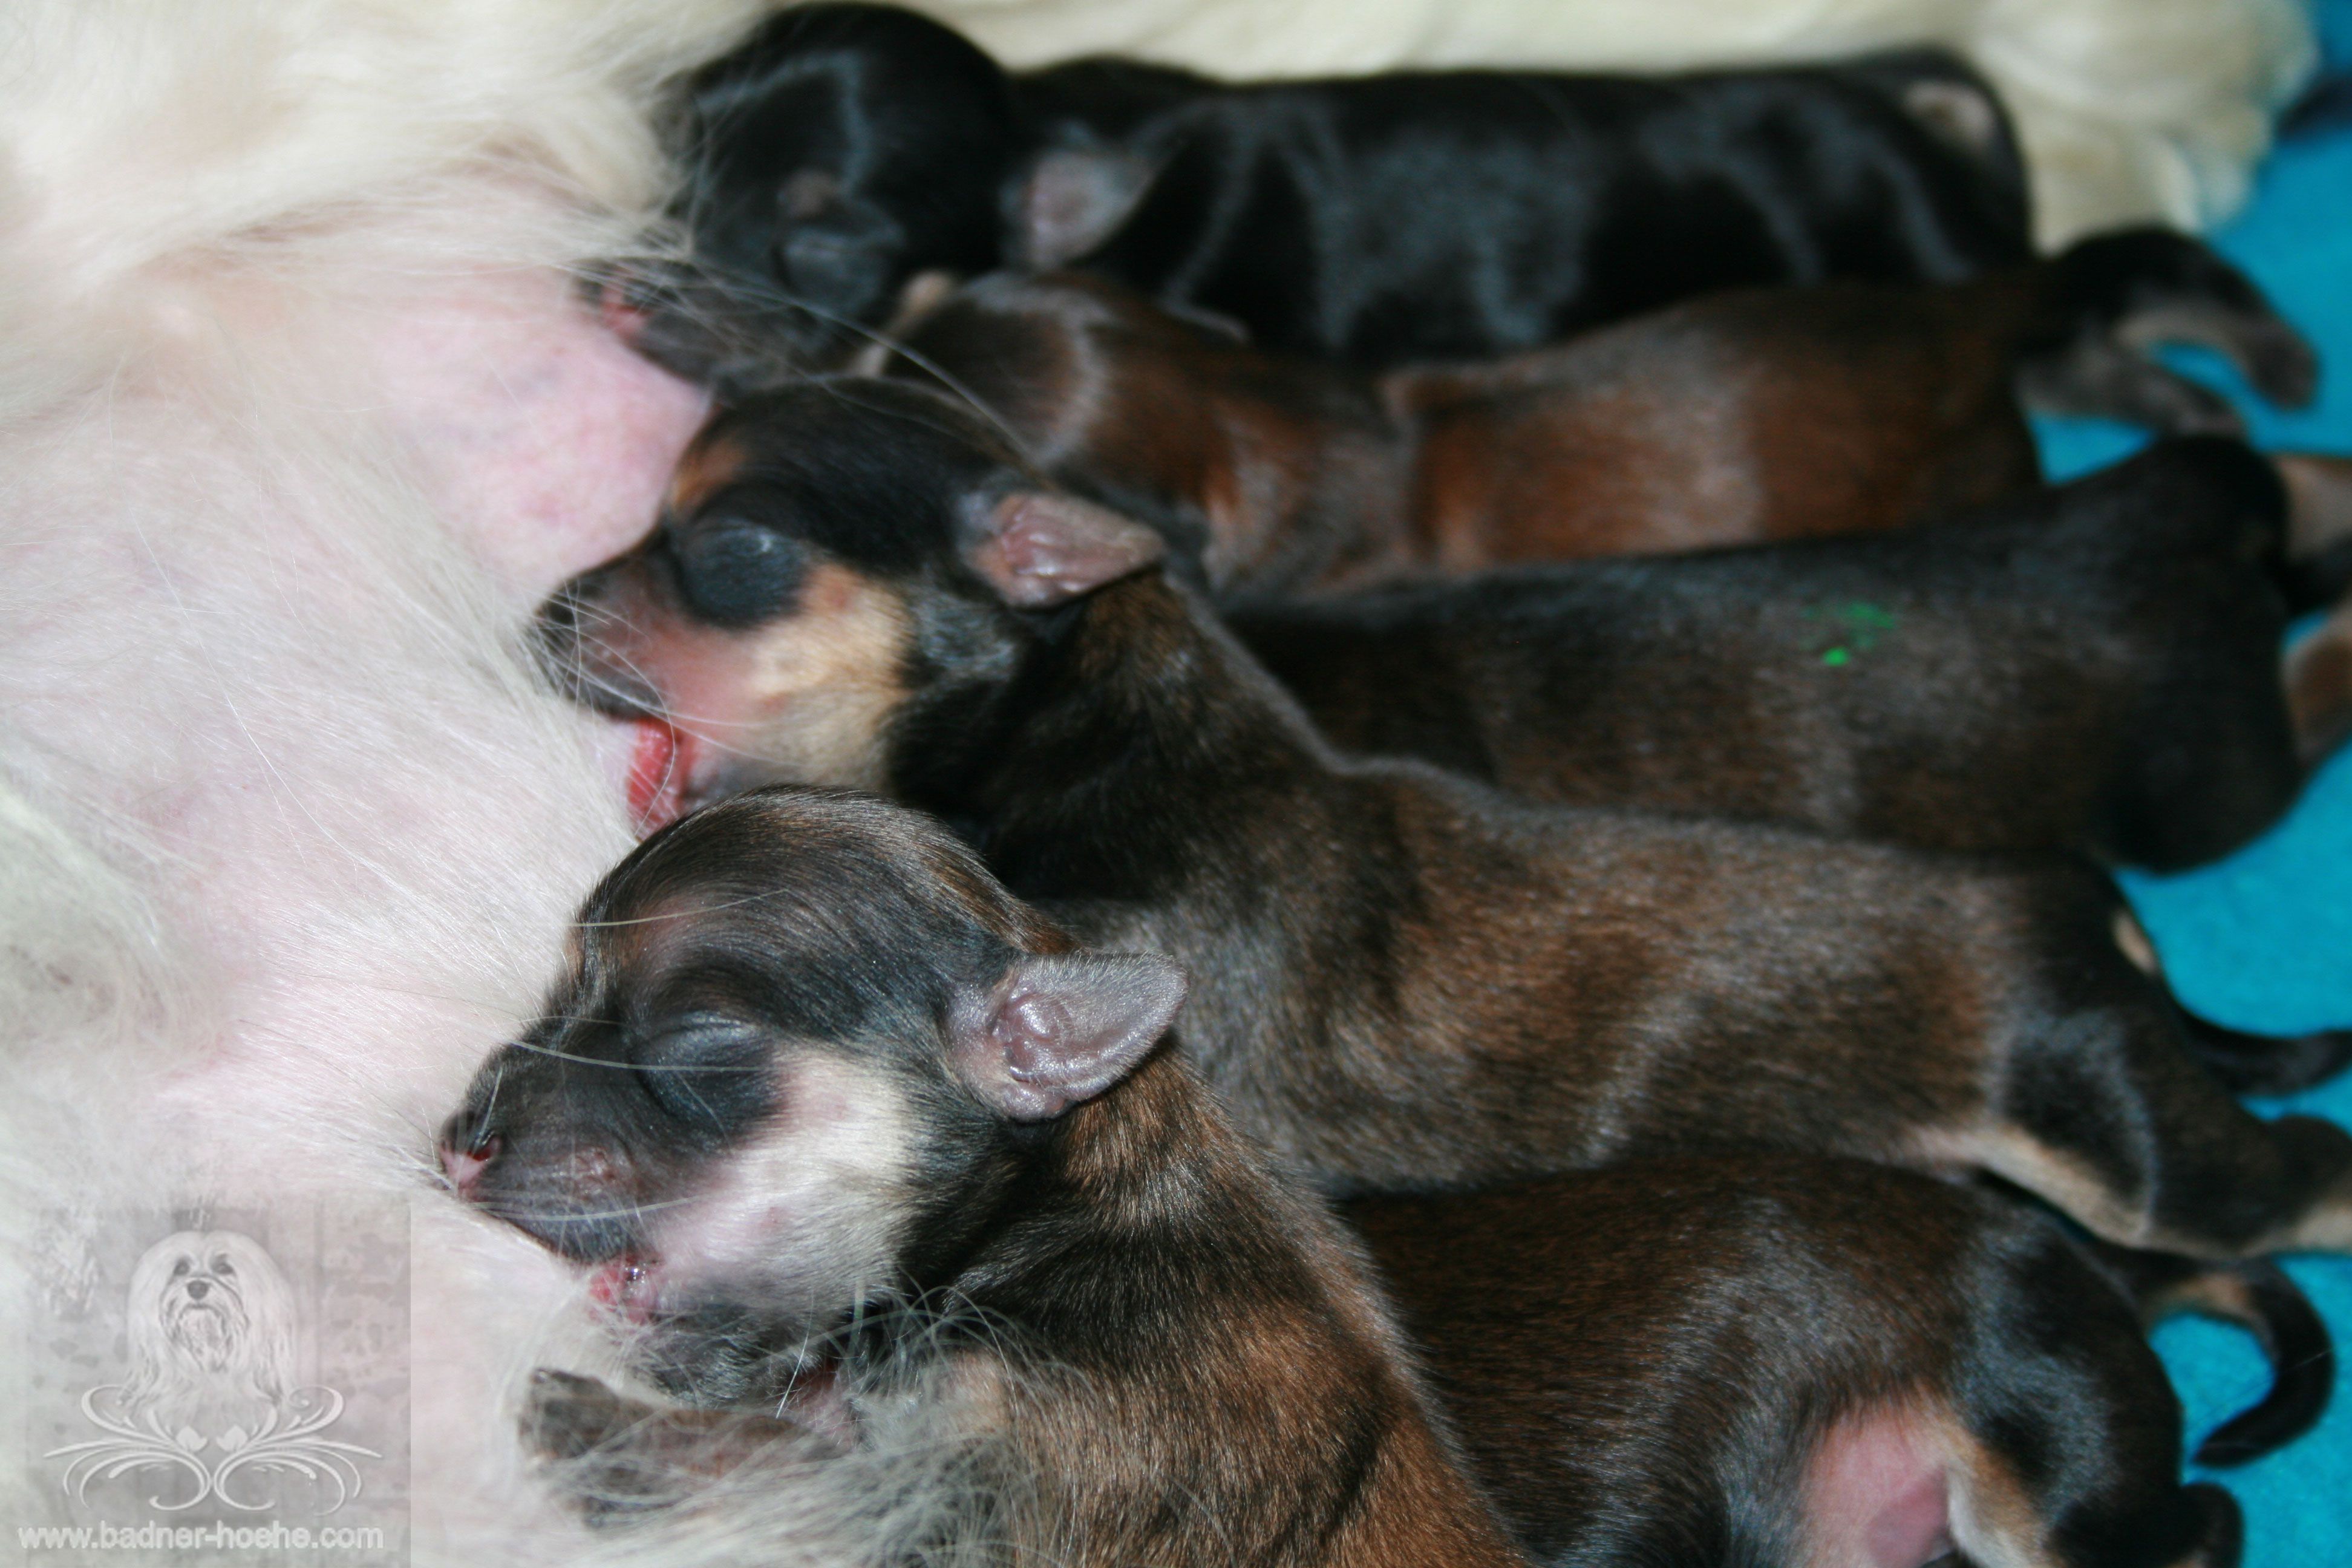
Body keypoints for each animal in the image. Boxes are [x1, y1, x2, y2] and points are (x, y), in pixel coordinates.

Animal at [442, 786, 1527, 1566]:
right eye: (555, 999)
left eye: (698, 1038)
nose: (462, 1138)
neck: (1041, 1220)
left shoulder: (987, 1487)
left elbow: (786, 1470)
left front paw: (585, 1420)